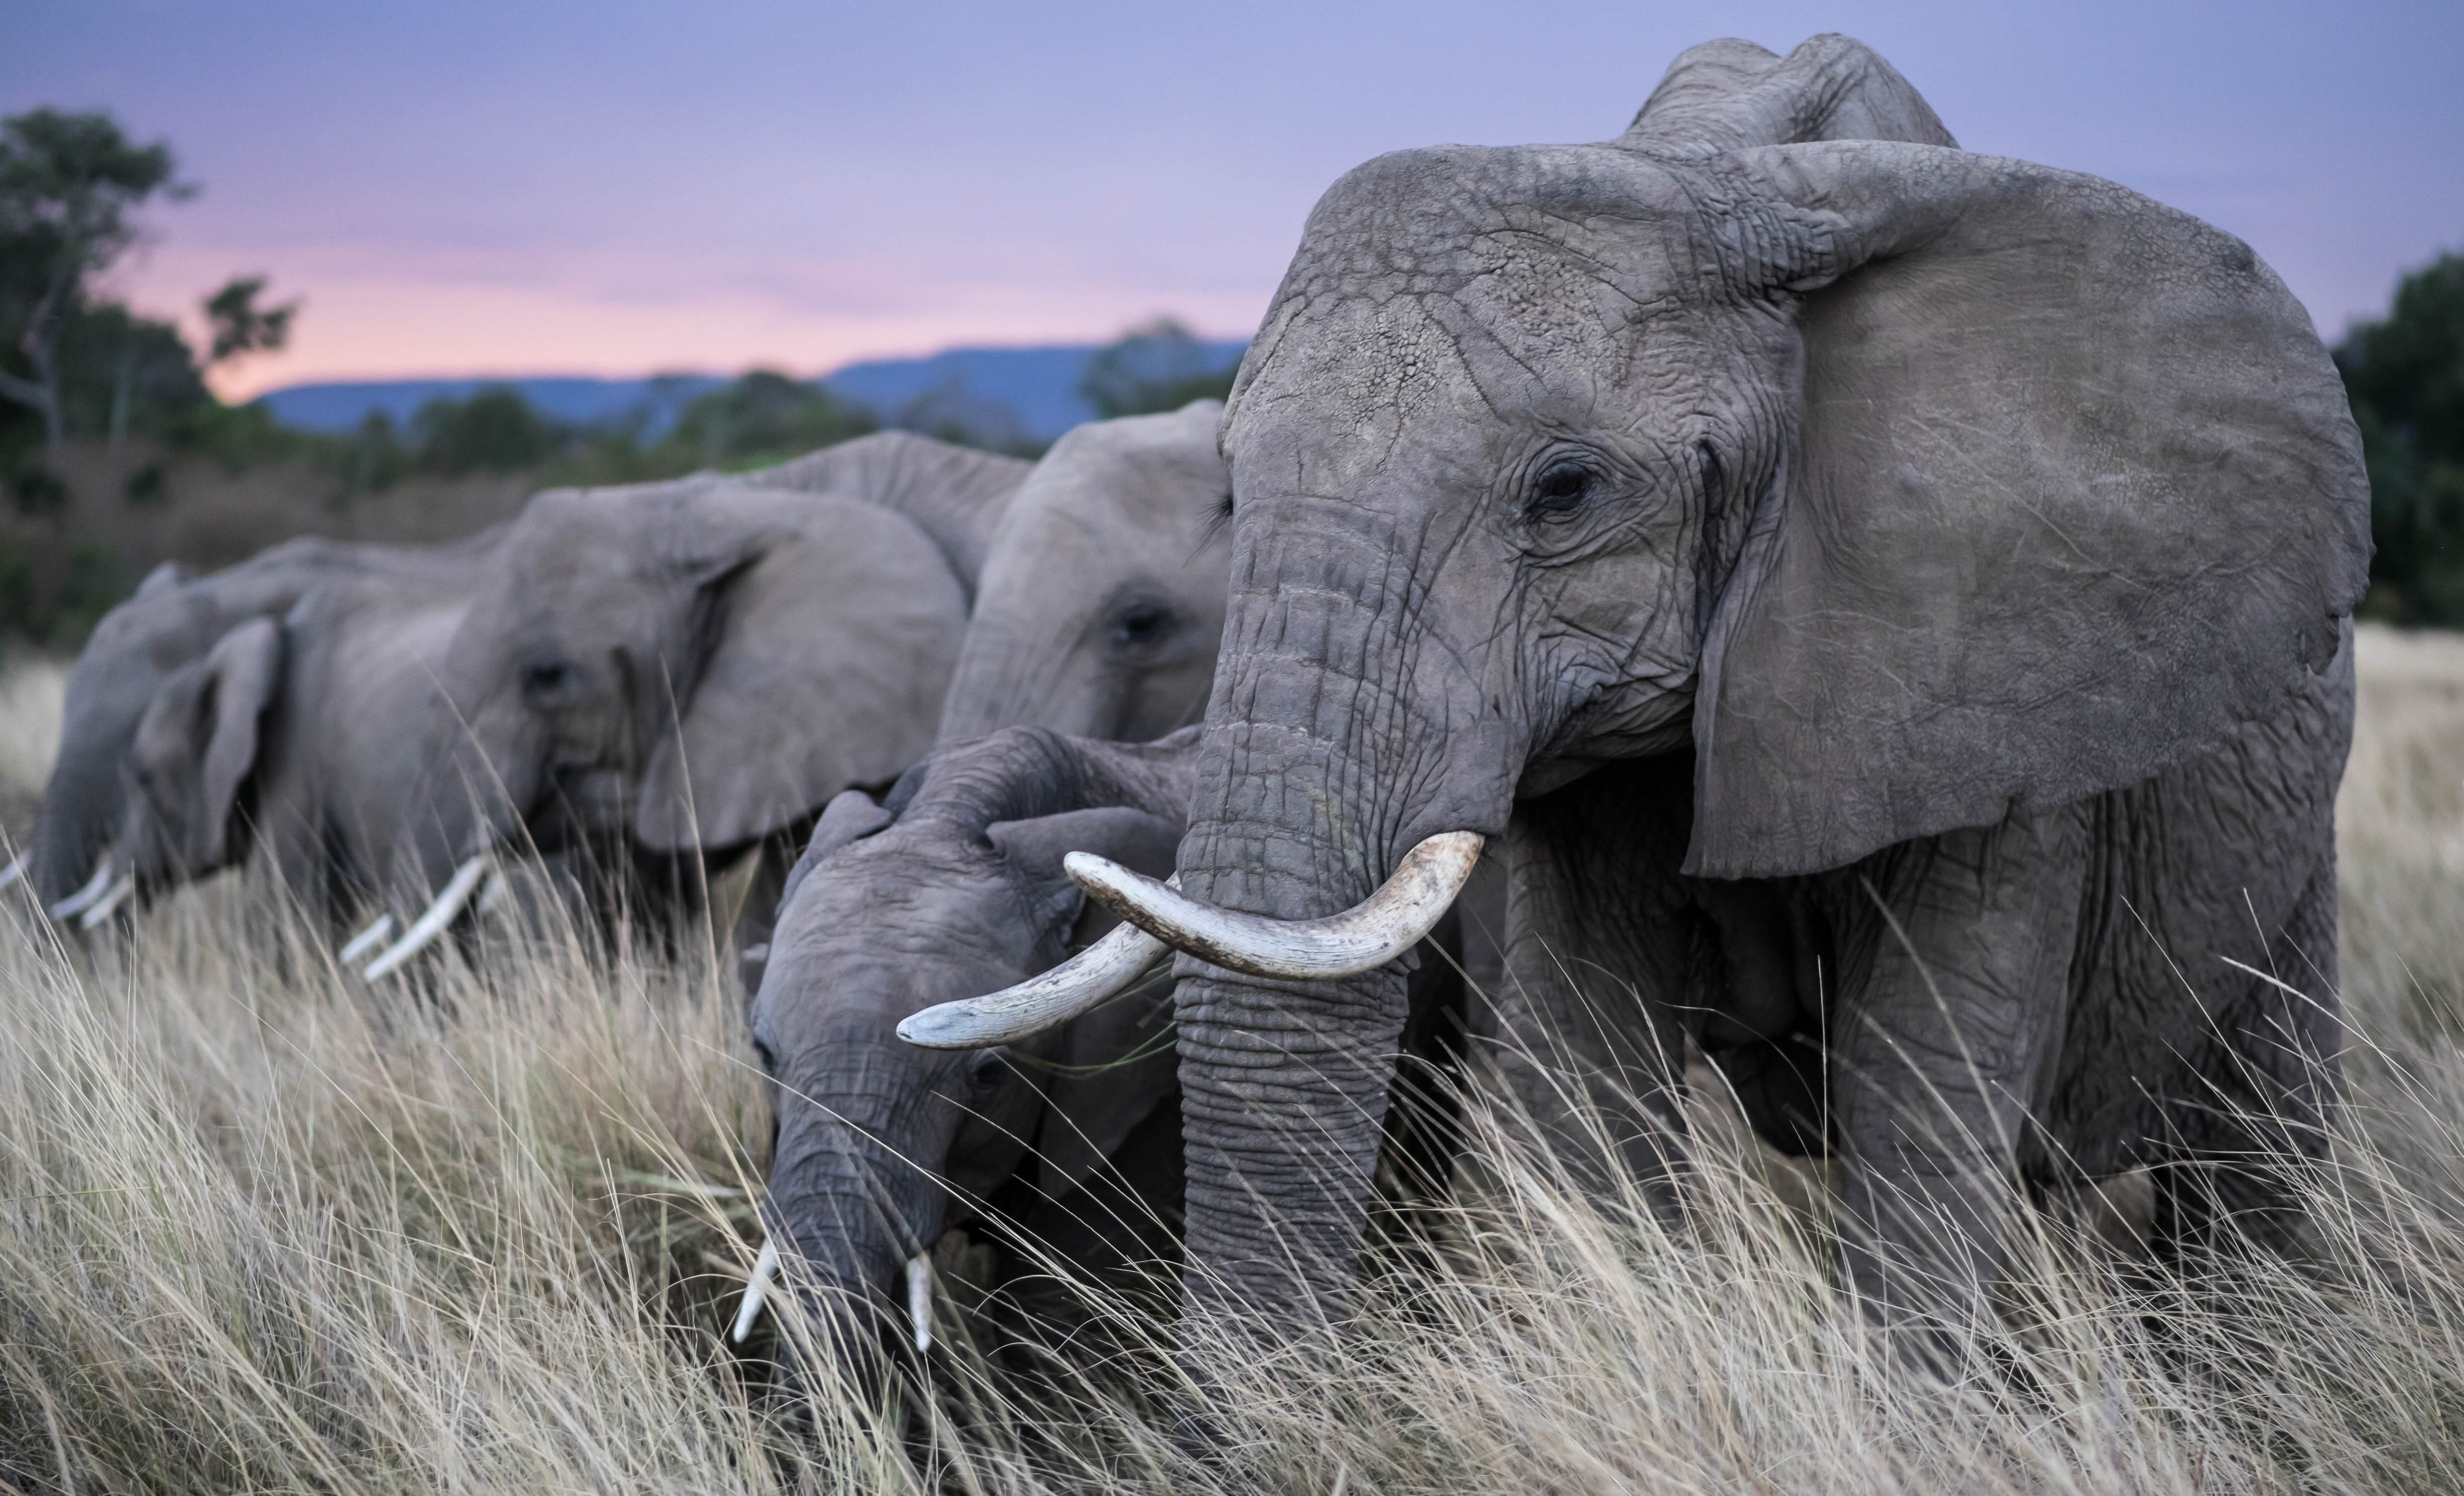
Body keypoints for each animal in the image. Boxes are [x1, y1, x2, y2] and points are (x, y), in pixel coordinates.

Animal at [916, 32, 2375, 1360]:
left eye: (1564, 491)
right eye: (1231, 482)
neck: (1717, 172)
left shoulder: (1992, 660)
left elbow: (1922, 1101)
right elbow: (1588, 1077)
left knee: (2255, 1160)